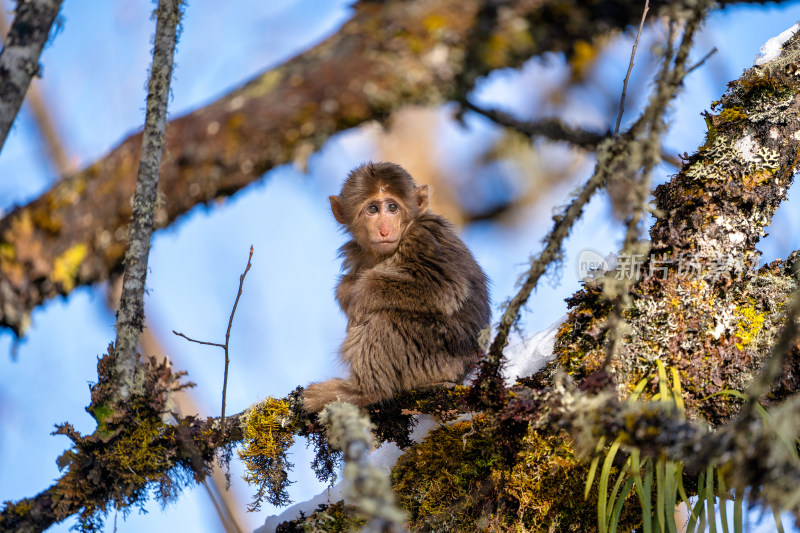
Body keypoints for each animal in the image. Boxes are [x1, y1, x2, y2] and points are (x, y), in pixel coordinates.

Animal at [300, 162, 488, 412]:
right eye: (372, 209)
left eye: (392, 207)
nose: (384, 229)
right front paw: (347, 292)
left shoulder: (423, 238)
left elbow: (445, 289)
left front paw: (360, 294)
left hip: (436, 356)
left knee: (384, 320)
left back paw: (363, 392)